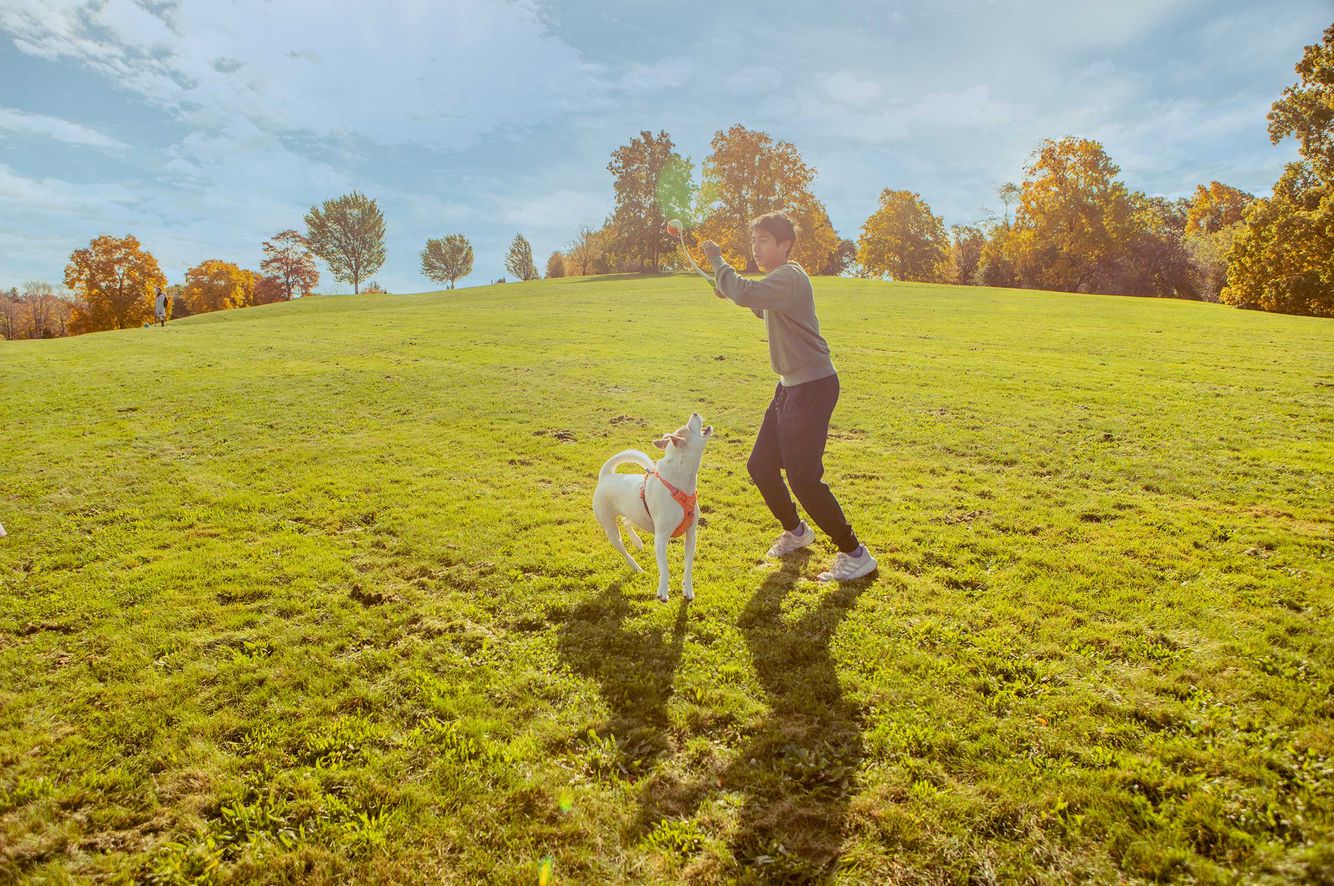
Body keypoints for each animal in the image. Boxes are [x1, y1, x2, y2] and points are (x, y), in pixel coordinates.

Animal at [592, 410, 709, 597]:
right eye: (689, 427)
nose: (695, 413)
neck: (680, 484)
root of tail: (606, 475)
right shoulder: (660, 538)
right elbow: (665, 567)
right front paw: (663, 590)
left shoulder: (691, 534)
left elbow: (688, 565)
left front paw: (688, 589)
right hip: (611, 530)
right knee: (624, 550)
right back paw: (637, 567)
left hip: (639, 515)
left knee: (626, 521)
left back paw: (637, 542)